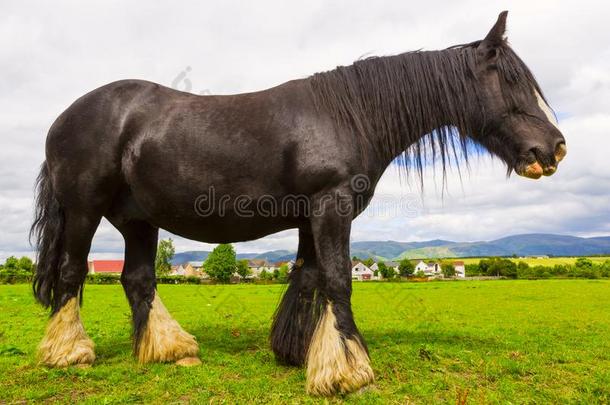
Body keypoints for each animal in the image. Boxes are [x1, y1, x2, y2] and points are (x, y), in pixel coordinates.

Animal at [32, 11, 564, 394]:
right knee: (72, 273)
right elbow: (338, 279)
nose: (554, 148)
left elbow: (309, 278)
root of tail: (62, 117)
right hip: (83, 210)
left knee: (138, 279)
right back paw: (69, 353)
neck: (348, 114)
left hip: (139, 220)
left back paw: (169, 350)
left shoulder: (314, 215)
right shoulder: (331, 206)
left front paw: (301, 352)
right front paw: (349, 370)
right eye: (511, 82)